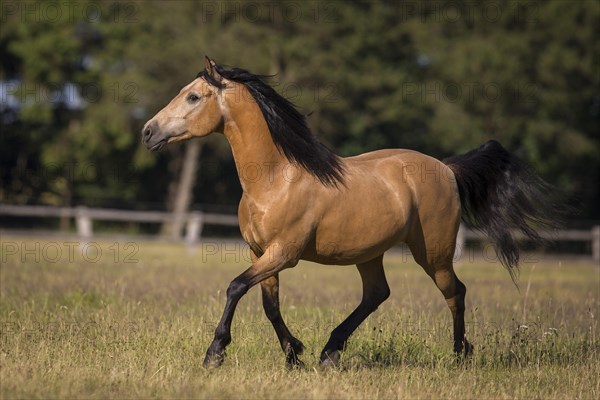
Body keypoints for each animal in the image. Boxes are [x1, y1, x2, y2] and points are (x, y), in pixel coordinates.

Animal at [142, 57, 564, 368]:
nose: (148, 132)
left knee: (454, 292)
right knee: (377, 294)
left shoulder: (284, 253)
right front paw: (295, 354)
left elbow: (235, 287)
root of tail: (446, 169)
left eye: (193, 97)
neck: (275, 179)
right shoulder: (260, 252)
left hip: (434, 253)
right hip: (369, 253)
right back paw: (330, 352)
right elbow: (268, 305)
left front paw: (215, 354)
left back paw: (460, 354)